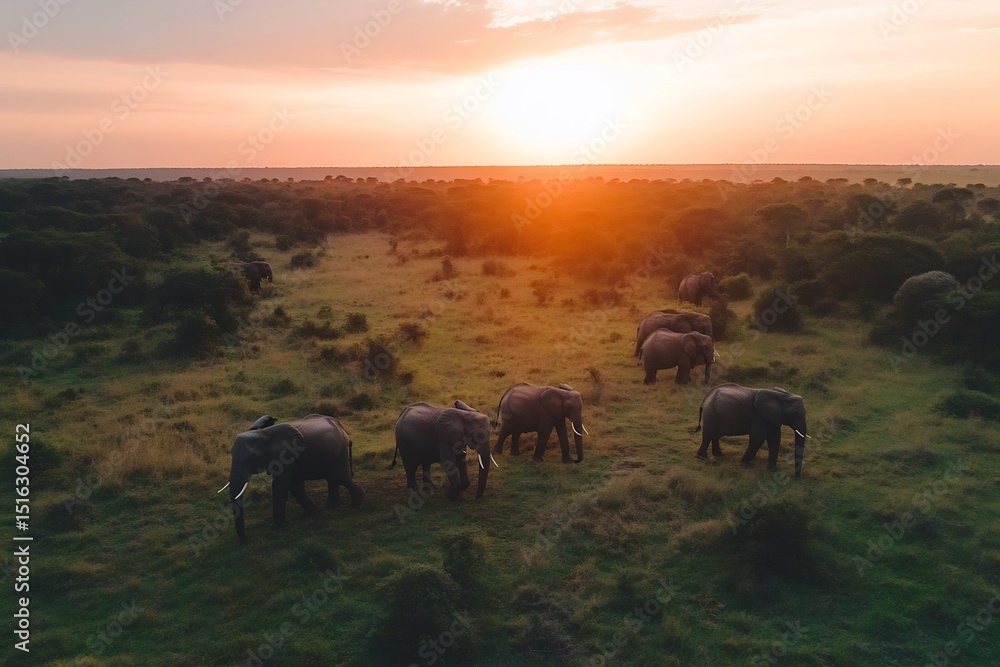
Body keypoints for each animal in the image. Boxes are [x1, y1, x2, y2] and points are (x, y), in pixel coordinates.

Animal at [222, 414, 364, 543]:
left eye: (253, 458)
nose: (247, 541)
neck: (262, 434)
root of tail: (340, 425)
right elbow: (293, 485)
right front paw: (308, 513)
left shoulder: (285, 455)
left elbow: (281, 484)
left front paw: (275, 527)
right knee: (332, 478)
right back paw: (331, 505)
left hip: (341, 446)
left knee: (341, 477)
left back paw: (356, 503)